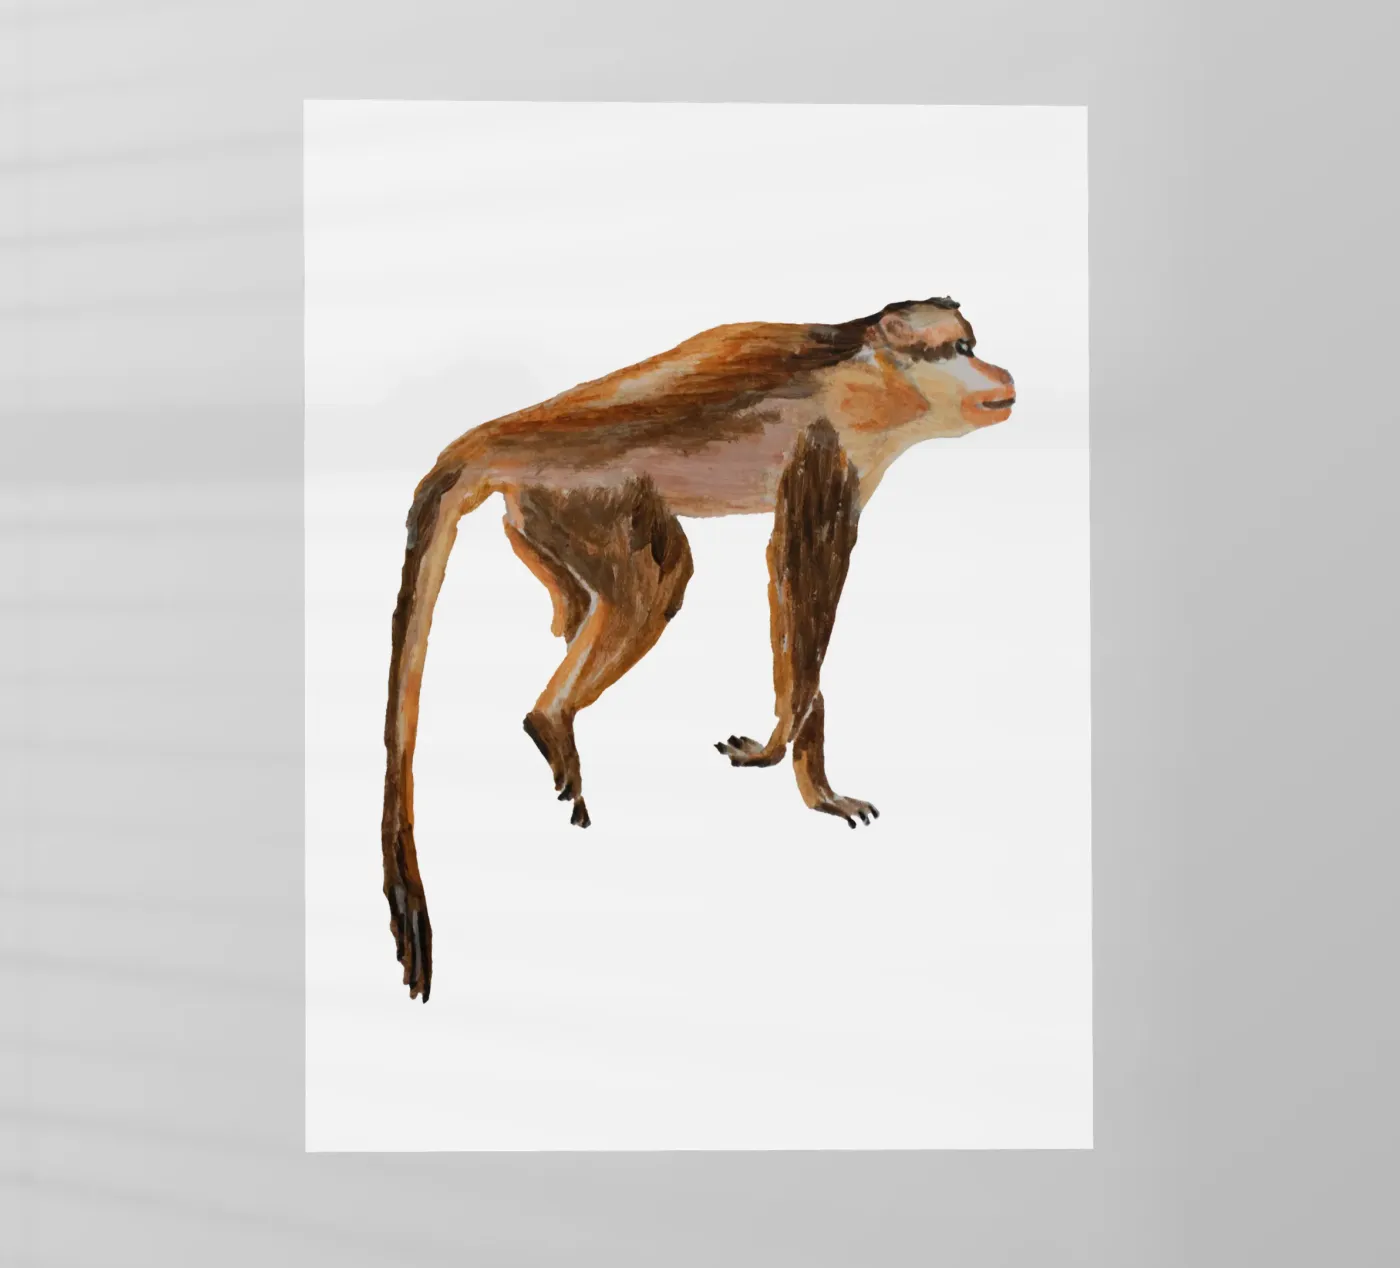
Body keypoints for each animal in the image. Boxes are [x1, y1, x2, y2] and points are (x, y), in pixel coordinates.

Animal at [382, 296, 1016, 999]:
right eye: (963, 350)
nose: (999, 372)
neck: (869, 366)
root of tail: (497, 436)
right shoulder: (828, 442)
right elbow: (799, 575)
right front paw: (775, 748)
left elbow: (798, 611)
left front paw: (816, 785)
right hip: (584, 487)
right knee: (659, 579)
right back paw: (549, 717)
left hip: (542, 511)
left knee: (593, 597)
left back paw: (560, 688)